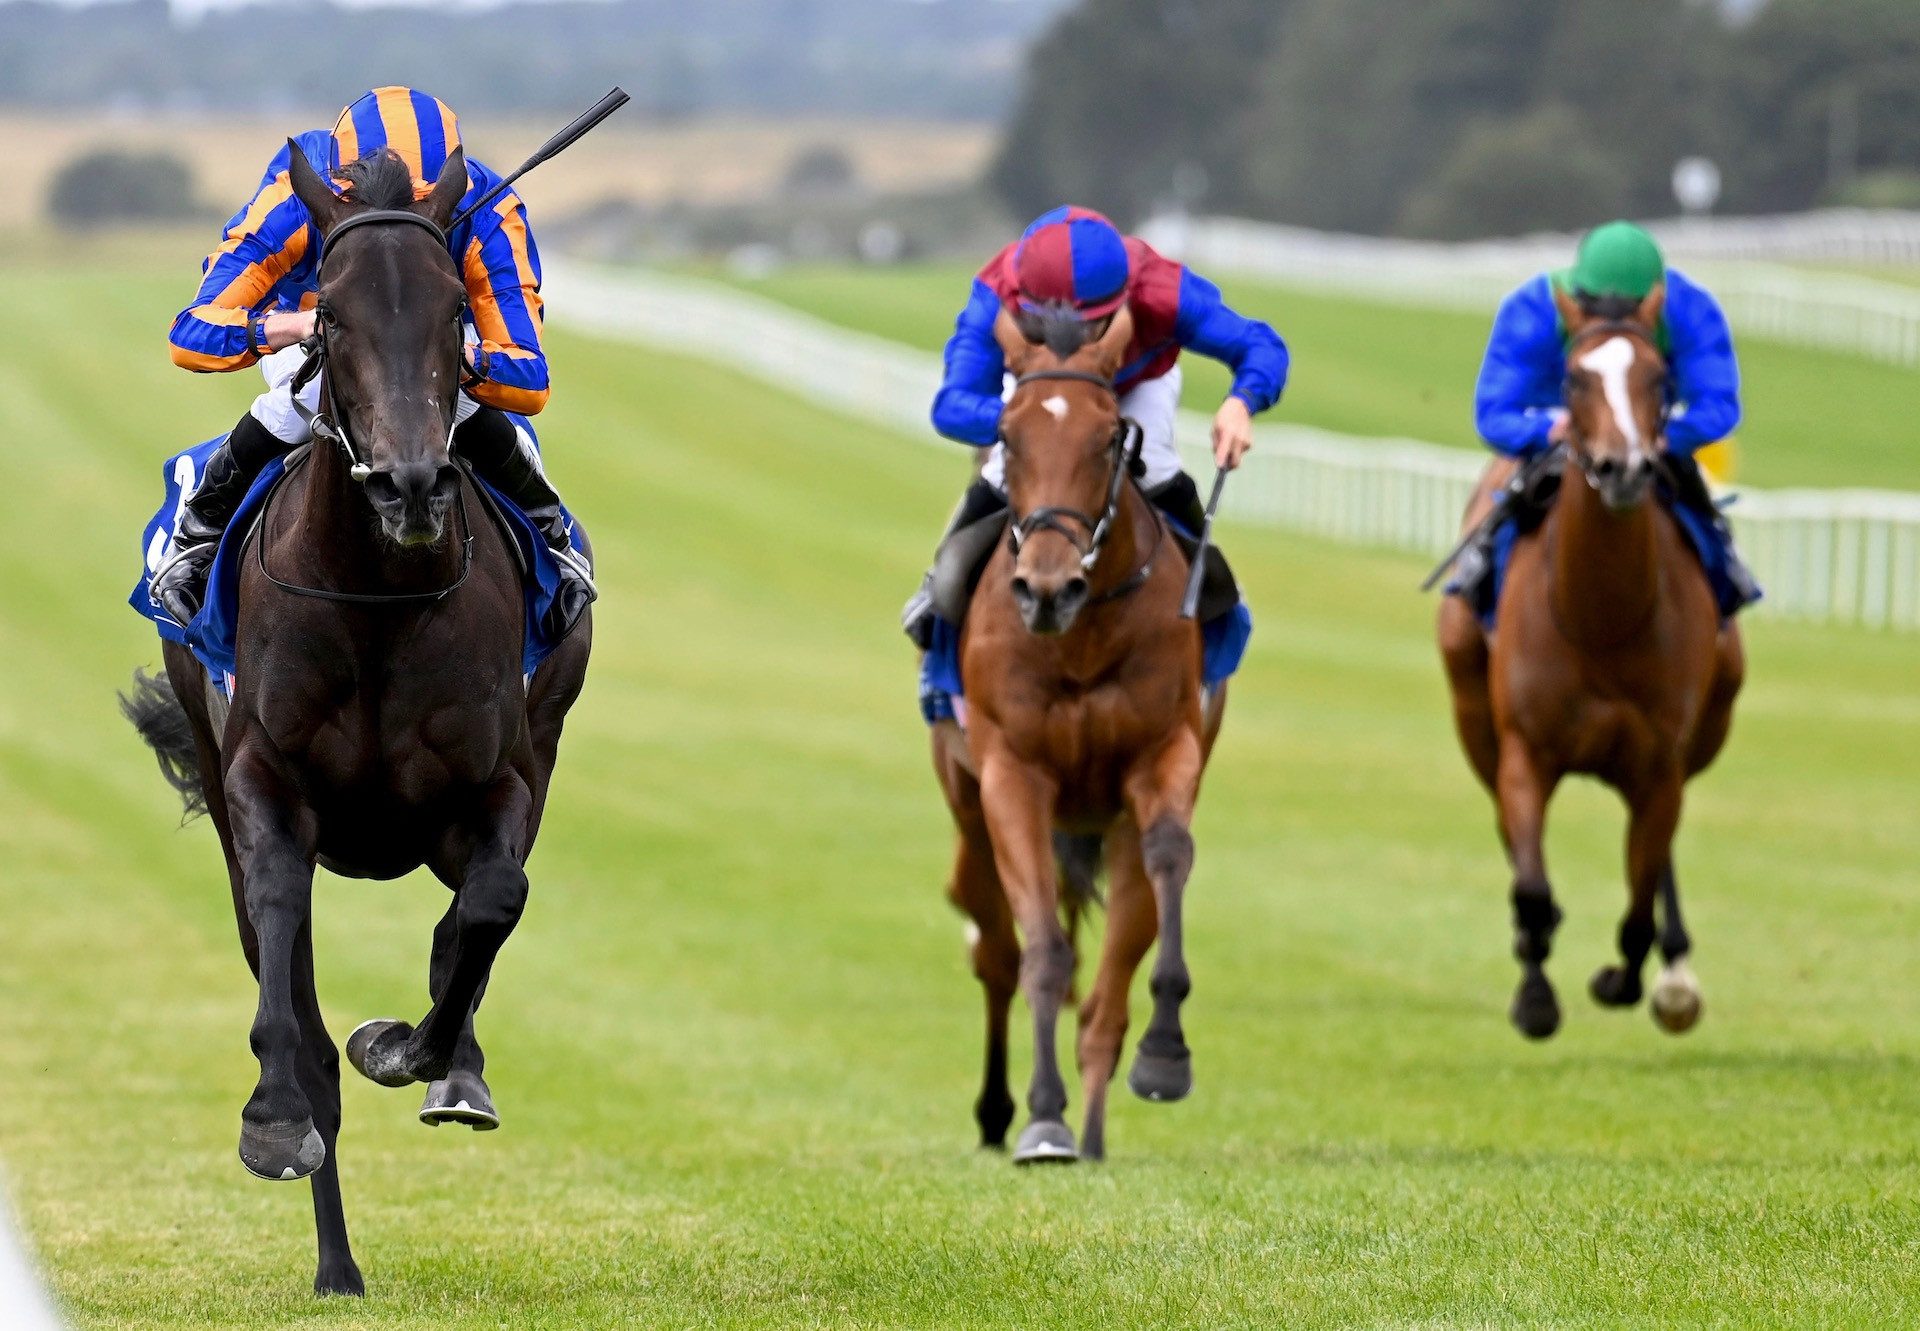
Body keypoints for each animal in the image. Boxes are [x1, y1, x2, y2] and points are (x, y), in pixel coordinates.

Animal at [124, 147, 587, 1298]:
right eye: (327, 315)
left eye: (454, 307)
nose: (411, 484)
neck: (377, 594)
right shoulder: (264, 784)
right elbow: (288, 951)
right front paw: (274, 1117)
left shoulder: (498, 779)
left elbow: (492, 902)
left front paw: (421, 1051)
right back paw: (336, 1263)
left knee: (477, 917)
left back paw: (452, 1063)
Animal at [929, 303, 1228, 1160]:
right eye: (1008, 433)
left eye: (1108, 438)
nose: (1047, 589)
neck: (1083, 634)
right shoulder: (1012, 775)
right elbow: (1042, 952)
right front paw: (1042, 1117)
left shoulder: (1163, 755)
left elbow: (1169, 858)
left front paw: (1165, 1054)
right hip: (968, 808)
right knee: (996, 949)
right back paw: (1001, 1112)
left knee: (1107, 992)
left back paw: (1095, 1125)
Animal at [1443, 286, 1743, 1044]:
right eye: (1575, 379)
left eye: (1660, 380)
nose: (1623, 468)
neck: (1600, 616)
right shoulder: (1526, 751)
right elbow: (1530, 884)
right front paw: (1535, 995)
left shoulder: (1660, 764)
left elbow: (1638, 902)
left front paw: (1628, 978)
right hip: (1472, 712)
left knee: (1656, 861)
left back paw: (1675, 968)